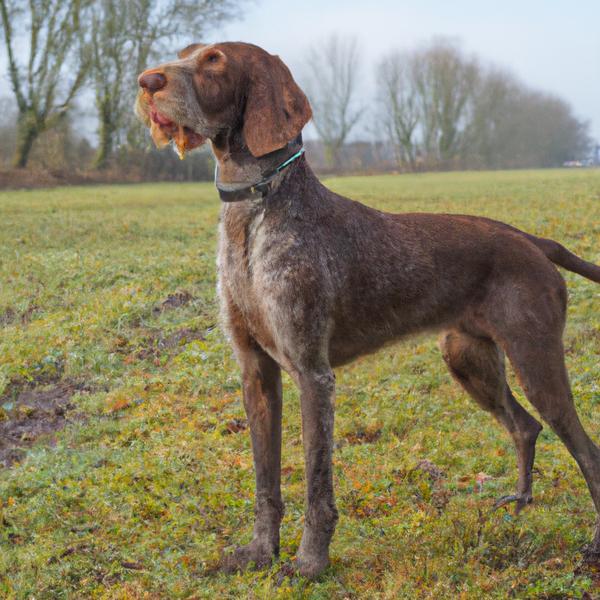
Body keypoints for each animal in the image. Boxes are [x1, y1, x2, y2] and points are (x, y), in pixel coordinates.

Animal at [136, 41, 600, 576]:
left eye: (214, 60)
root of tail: (532, 240)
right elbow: (265, 483)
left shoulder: (312, 374)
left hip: (535, 358)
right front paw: (259, 552)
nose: (146, 81)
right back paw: (520, 503)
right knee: (525, 427)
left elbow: (317, 485)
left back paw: (593, 545)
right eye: (184, 53)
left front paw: (309, 563)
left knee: (588, 451)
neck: (252, 212)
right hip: (468, 360)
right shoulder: (256, 372)